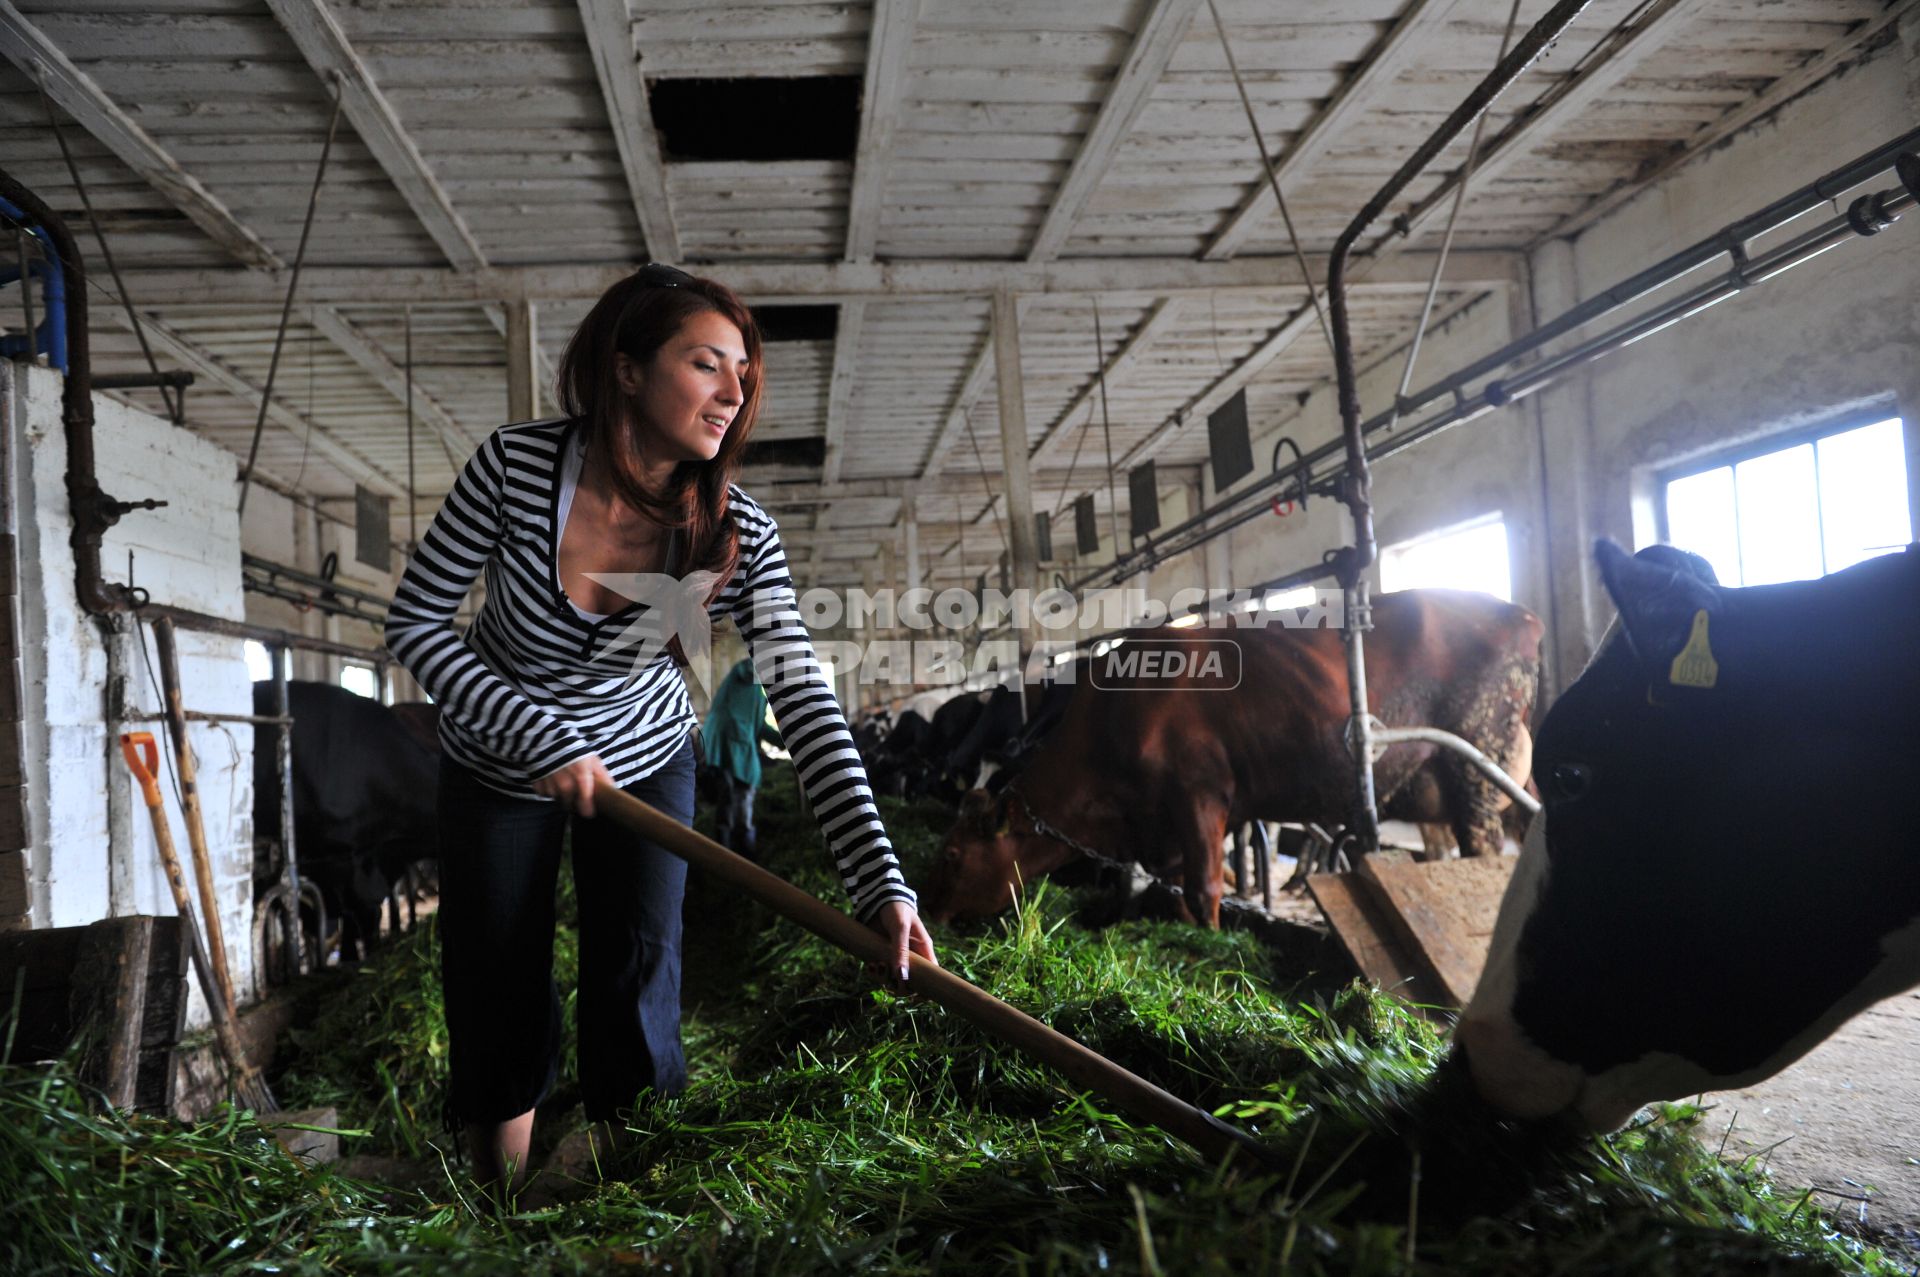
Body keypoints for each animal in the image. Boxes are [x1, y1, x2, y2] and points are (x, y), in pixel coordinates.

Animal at [921, 587, 1536, 925]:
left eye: (951, 855)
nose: (928, 910)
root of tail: (1519, 614)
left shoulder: (1202, 796)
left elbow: (1206, 888)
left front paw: (1212, 942)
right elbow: (1169, 890)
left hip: (1479, 766)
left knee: (1483, 848)